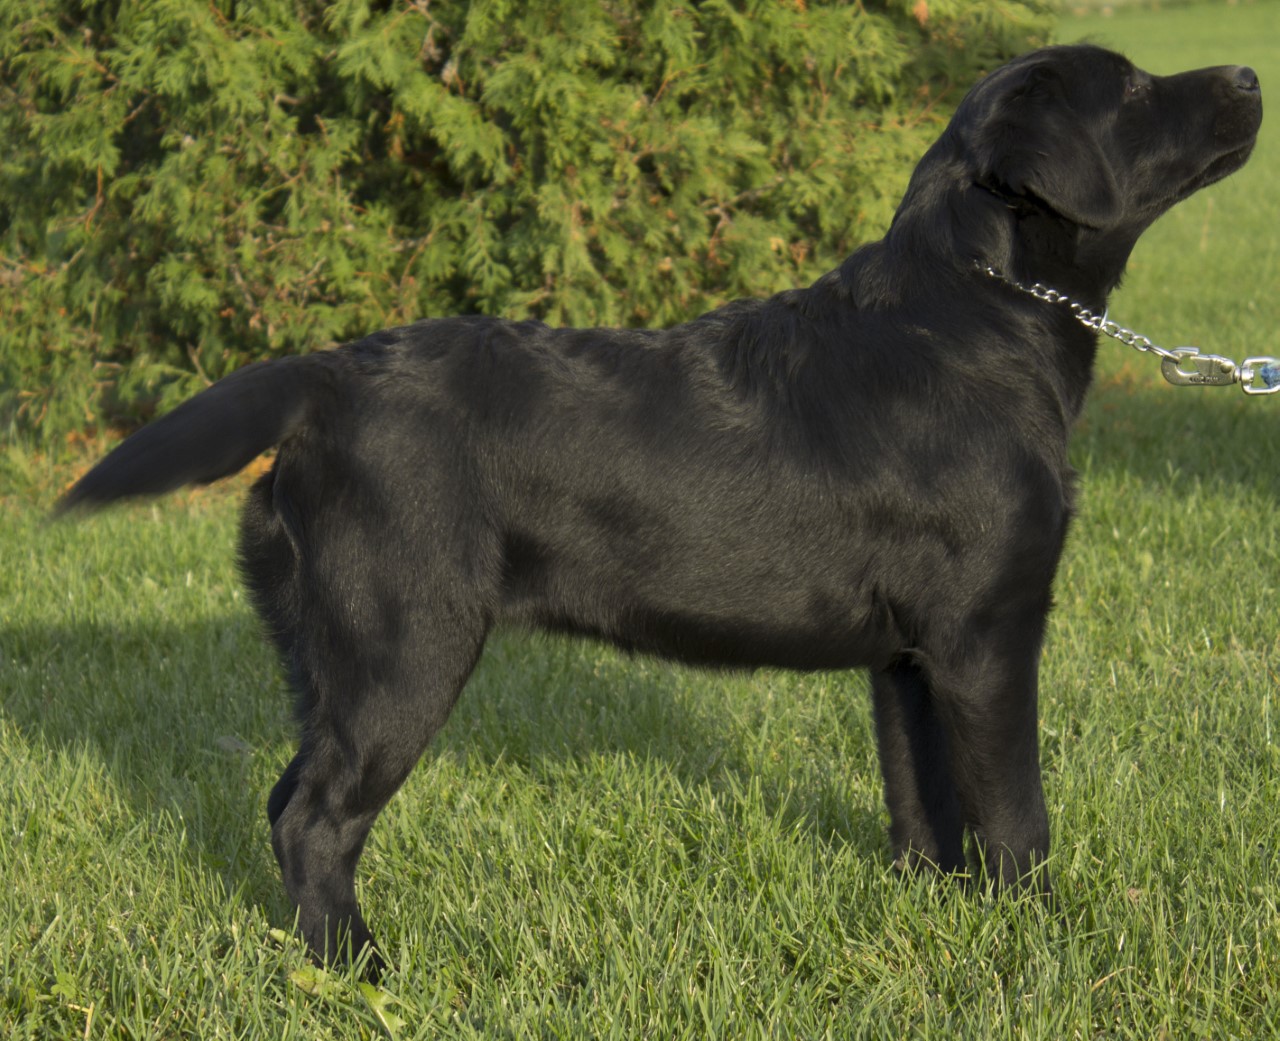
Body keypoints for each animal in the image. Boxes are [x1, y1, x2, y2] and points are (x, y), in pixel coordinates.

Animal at [60, 45, 1261, 974]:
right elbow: (1014, 817)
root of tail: (325, 377)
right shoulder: (987, 636)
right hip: (404, 644)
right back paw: (362, 969)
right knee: (317, 818)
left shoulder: (910, 660)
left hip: (327, 654)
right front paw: (1038, 940)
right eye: (1132, 88)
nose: (1251, 73)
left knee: (283, 804)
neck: (977, 313)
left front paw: (931, 918)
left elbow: (923, 803)